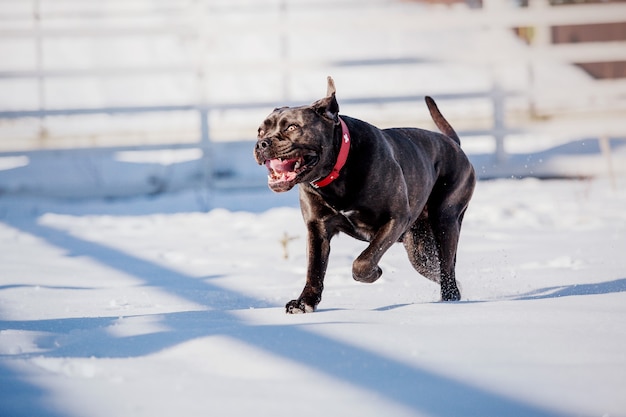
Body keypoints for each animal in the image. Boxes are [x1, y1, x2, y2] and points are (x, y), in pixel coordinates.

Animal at [254, 77, 472, 312]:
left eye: (292, 127)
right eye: (259, 131)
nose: (262, 143)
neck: (337, 173)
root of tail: (454, 143)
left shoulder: (395, 218)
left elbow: (363, 261)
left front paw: (375, 272)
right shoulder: (317, 229)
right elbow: (314, 269)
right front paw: (304, 303)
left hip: (445, 222)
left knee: (447, 268)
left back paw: (449, 299)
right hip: (420, 252)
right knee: (441, 271)